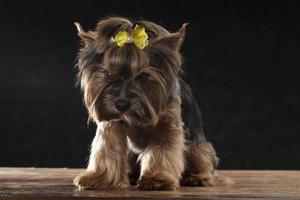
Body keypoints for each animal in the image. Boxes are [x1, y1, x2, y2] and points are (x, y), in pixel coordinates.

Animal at [72, 17, 218, 191]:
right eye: (108, 74)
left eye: (142, 77)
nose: (121, 104)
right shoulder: (112, 124)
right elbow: (107, 147)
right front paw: (100, 177)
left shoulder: (168, 125)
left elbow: (163, 150)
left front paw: (157, 179)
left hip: (197, 145)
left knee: (201, 158)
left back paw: (196, 178)